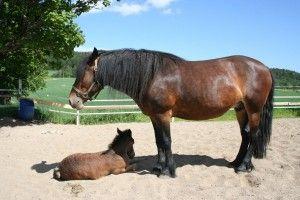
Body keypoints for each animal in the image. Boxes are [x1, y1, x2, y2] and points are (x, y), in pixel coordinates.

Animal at [68, 47, 274, 177]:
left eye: (84, 73)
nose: (72, 100)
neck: (152, 76)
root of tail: (264, 67)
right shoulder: (154, 116)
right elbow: (159, 141)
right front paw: (159, 168)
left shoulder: (164, 115)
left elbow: (166, 141)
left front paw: (169, 170)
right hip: (240, 109)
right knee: (245, 135)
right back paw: (236, 162)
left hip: (254, 110)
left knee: (253, 135)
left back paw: (243, 166)